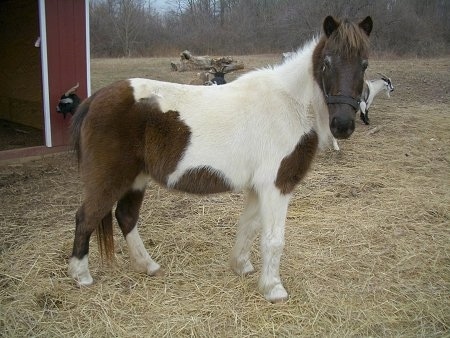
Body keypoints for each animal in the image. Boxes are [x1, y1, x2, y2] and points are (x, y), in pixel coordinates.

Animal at [68, 15, 372, 304]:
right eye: (327, 63)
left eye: (365, 64)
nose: (343, 125)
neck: (290, 103)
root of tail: (93, 100)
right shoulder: (276, 186)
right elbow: (273, 239)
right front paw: (273, 289)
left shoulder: (258, 187)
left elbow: (249, 226)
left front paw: (241, 266)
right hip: (110, 178)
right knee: (86, 217)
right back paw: (81, 276)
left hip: (137, 178)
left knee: (126, 216)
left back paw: (147, 266)